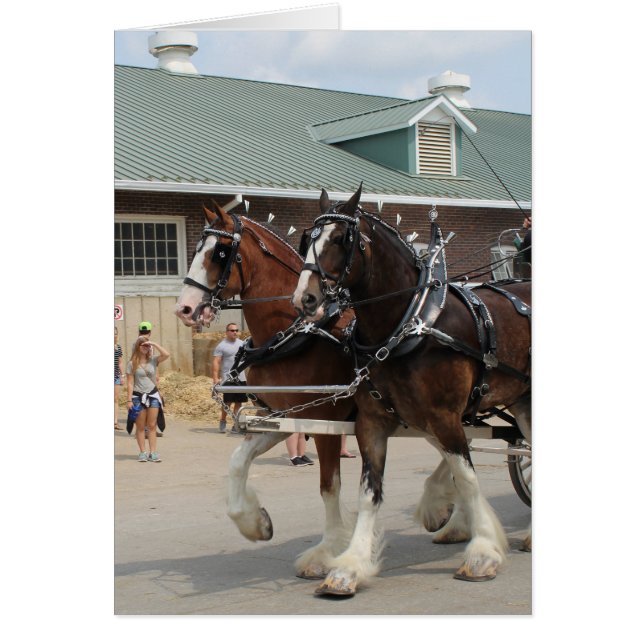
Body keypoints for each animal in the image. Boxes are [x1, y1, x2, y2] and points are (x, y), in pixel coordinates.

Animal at [175, 202, 361, 579]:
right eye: (197, 248)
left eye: (219, 252)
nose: (184, 308)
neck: (293, 334)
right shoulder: (282, 417)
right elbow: (237, 461)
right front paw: (255, 523)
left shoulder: (326, 421)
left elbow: (329, 486)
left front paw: (327, 551)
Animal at [292, 185, 532, 596]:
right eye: (308, 239)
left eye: (341, 239)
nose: (304, 298)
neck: (409, 323)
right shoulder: (374, 422)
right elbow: (369, 493)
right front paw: (350, 567)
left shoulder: (445, 416)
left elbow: (467, 477)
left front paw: (482, 552)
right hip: (520, 401)